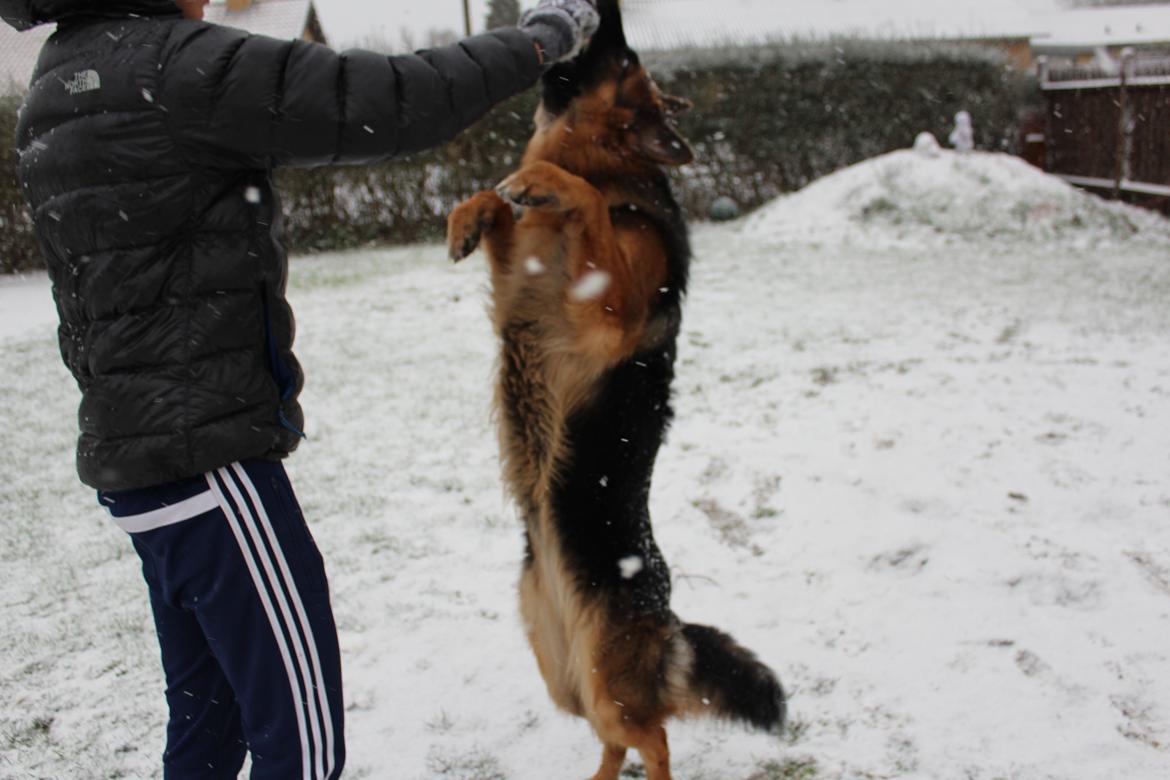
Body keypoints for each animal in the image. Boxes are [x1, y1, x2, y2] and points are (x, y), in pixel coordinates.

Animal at [446, 3, 786, 776]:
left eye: (624, 58)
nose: (604, 9)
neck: (608, 165)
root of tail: (669, 622)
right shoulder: (515, 283)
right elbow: (500, 209)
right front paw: (469, 215)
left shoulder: (611, 310)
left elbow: (592, 208)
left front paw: (549, 181)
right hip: (561, 670)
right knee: (616, 737)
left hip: (604, 676)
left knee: (653, 734)